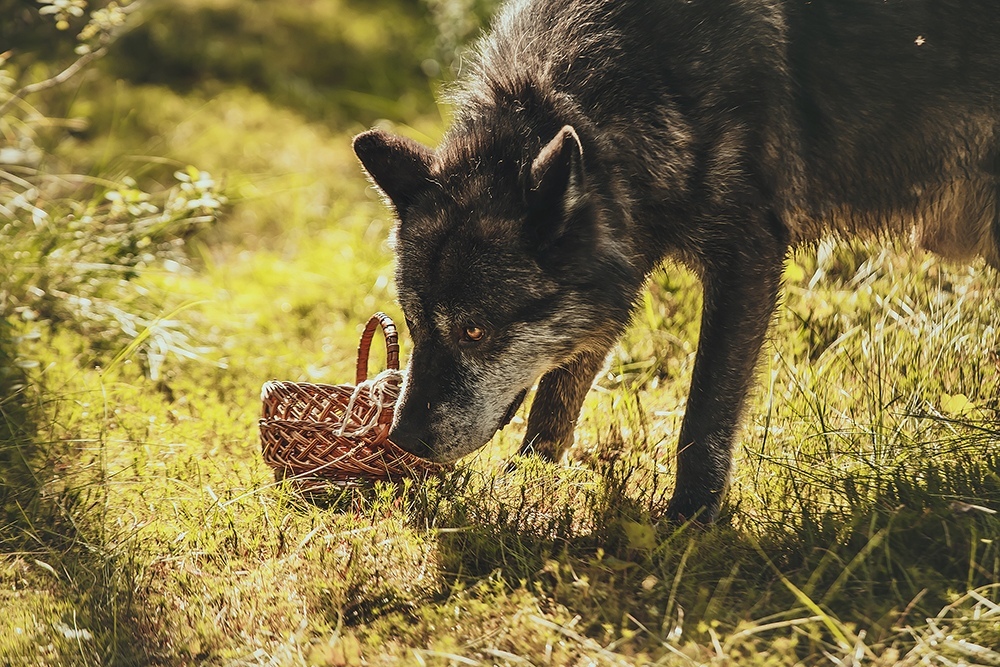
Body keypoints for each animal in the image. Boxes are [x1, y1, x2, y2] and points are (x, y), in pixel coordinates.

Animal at [354, 0, 1000, 520]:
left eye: (475, 331)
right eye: (415, 324)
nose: (404, 438)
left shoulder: (747, 257)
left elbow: (705, 413)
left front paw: (690, 521)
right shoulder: (619, 271)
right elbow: (557, 398)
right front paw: (526, 486)